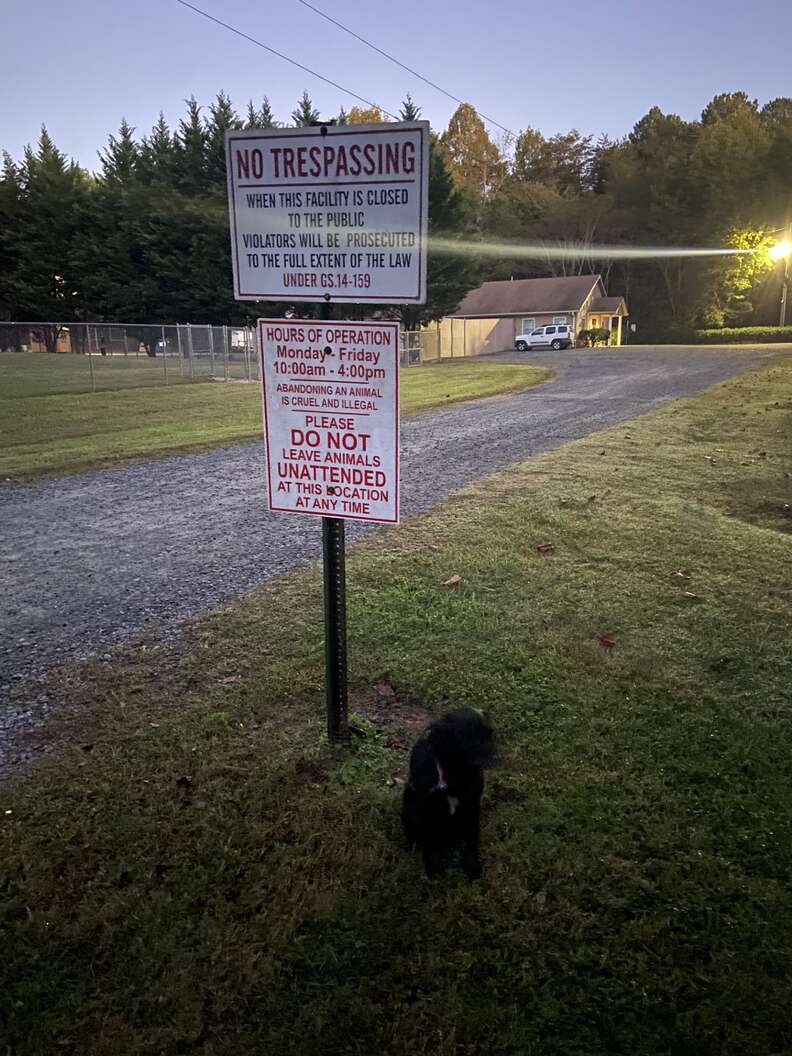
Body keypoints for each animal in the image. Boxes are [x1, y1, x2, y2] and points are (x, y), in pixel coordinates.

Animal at [405, 713, 498, 878]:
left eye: (489, 735)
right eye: (471, 741)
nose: (498, 757)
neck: (455, 776)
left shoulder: (472, 806)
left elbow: (472, 839)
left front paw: (472, 866)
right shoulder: (426, 808)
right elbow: (429, 841)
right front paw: (432, 866)